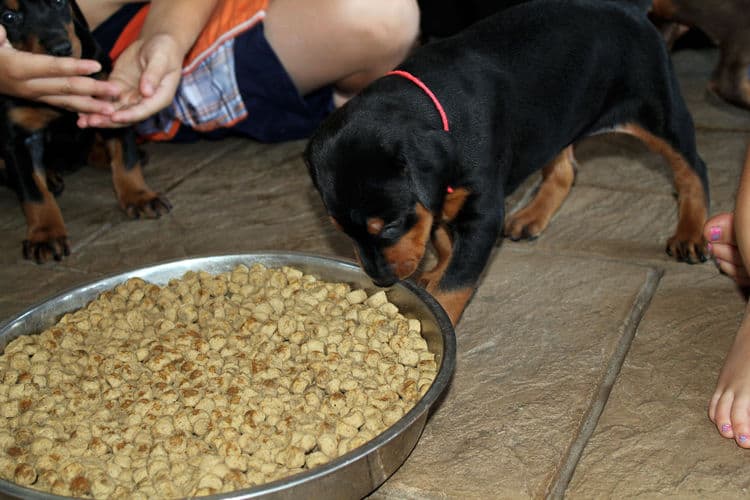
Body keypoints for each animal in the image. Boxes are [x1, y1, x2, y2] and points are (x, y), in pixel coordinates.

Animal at [0, 0, 170, 264]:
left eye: (60, 2)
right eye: (8, 17)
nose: (61, 49)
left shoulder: (109, 102)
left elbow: (126, 159)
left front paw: (139, 196)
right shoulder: (18, 139)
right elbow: (33, 192)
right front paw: (45, 235)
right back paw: (51, 177)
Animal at [306, 0, 712, 324]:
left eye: (389, 226)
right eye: (342, 232)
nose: (381, 279)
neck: (434, 106)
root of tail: (629, 7)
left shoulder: (484, 210)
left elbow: (458, 277)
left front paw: (441, 313)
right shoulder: (442, 196)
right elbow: (444, 239)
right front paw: (436, 270)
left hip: (656, 109)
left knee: (692, 168)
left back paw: (691, 233)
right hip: (554, 120)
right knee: (564, 168)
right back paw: (532, 216)